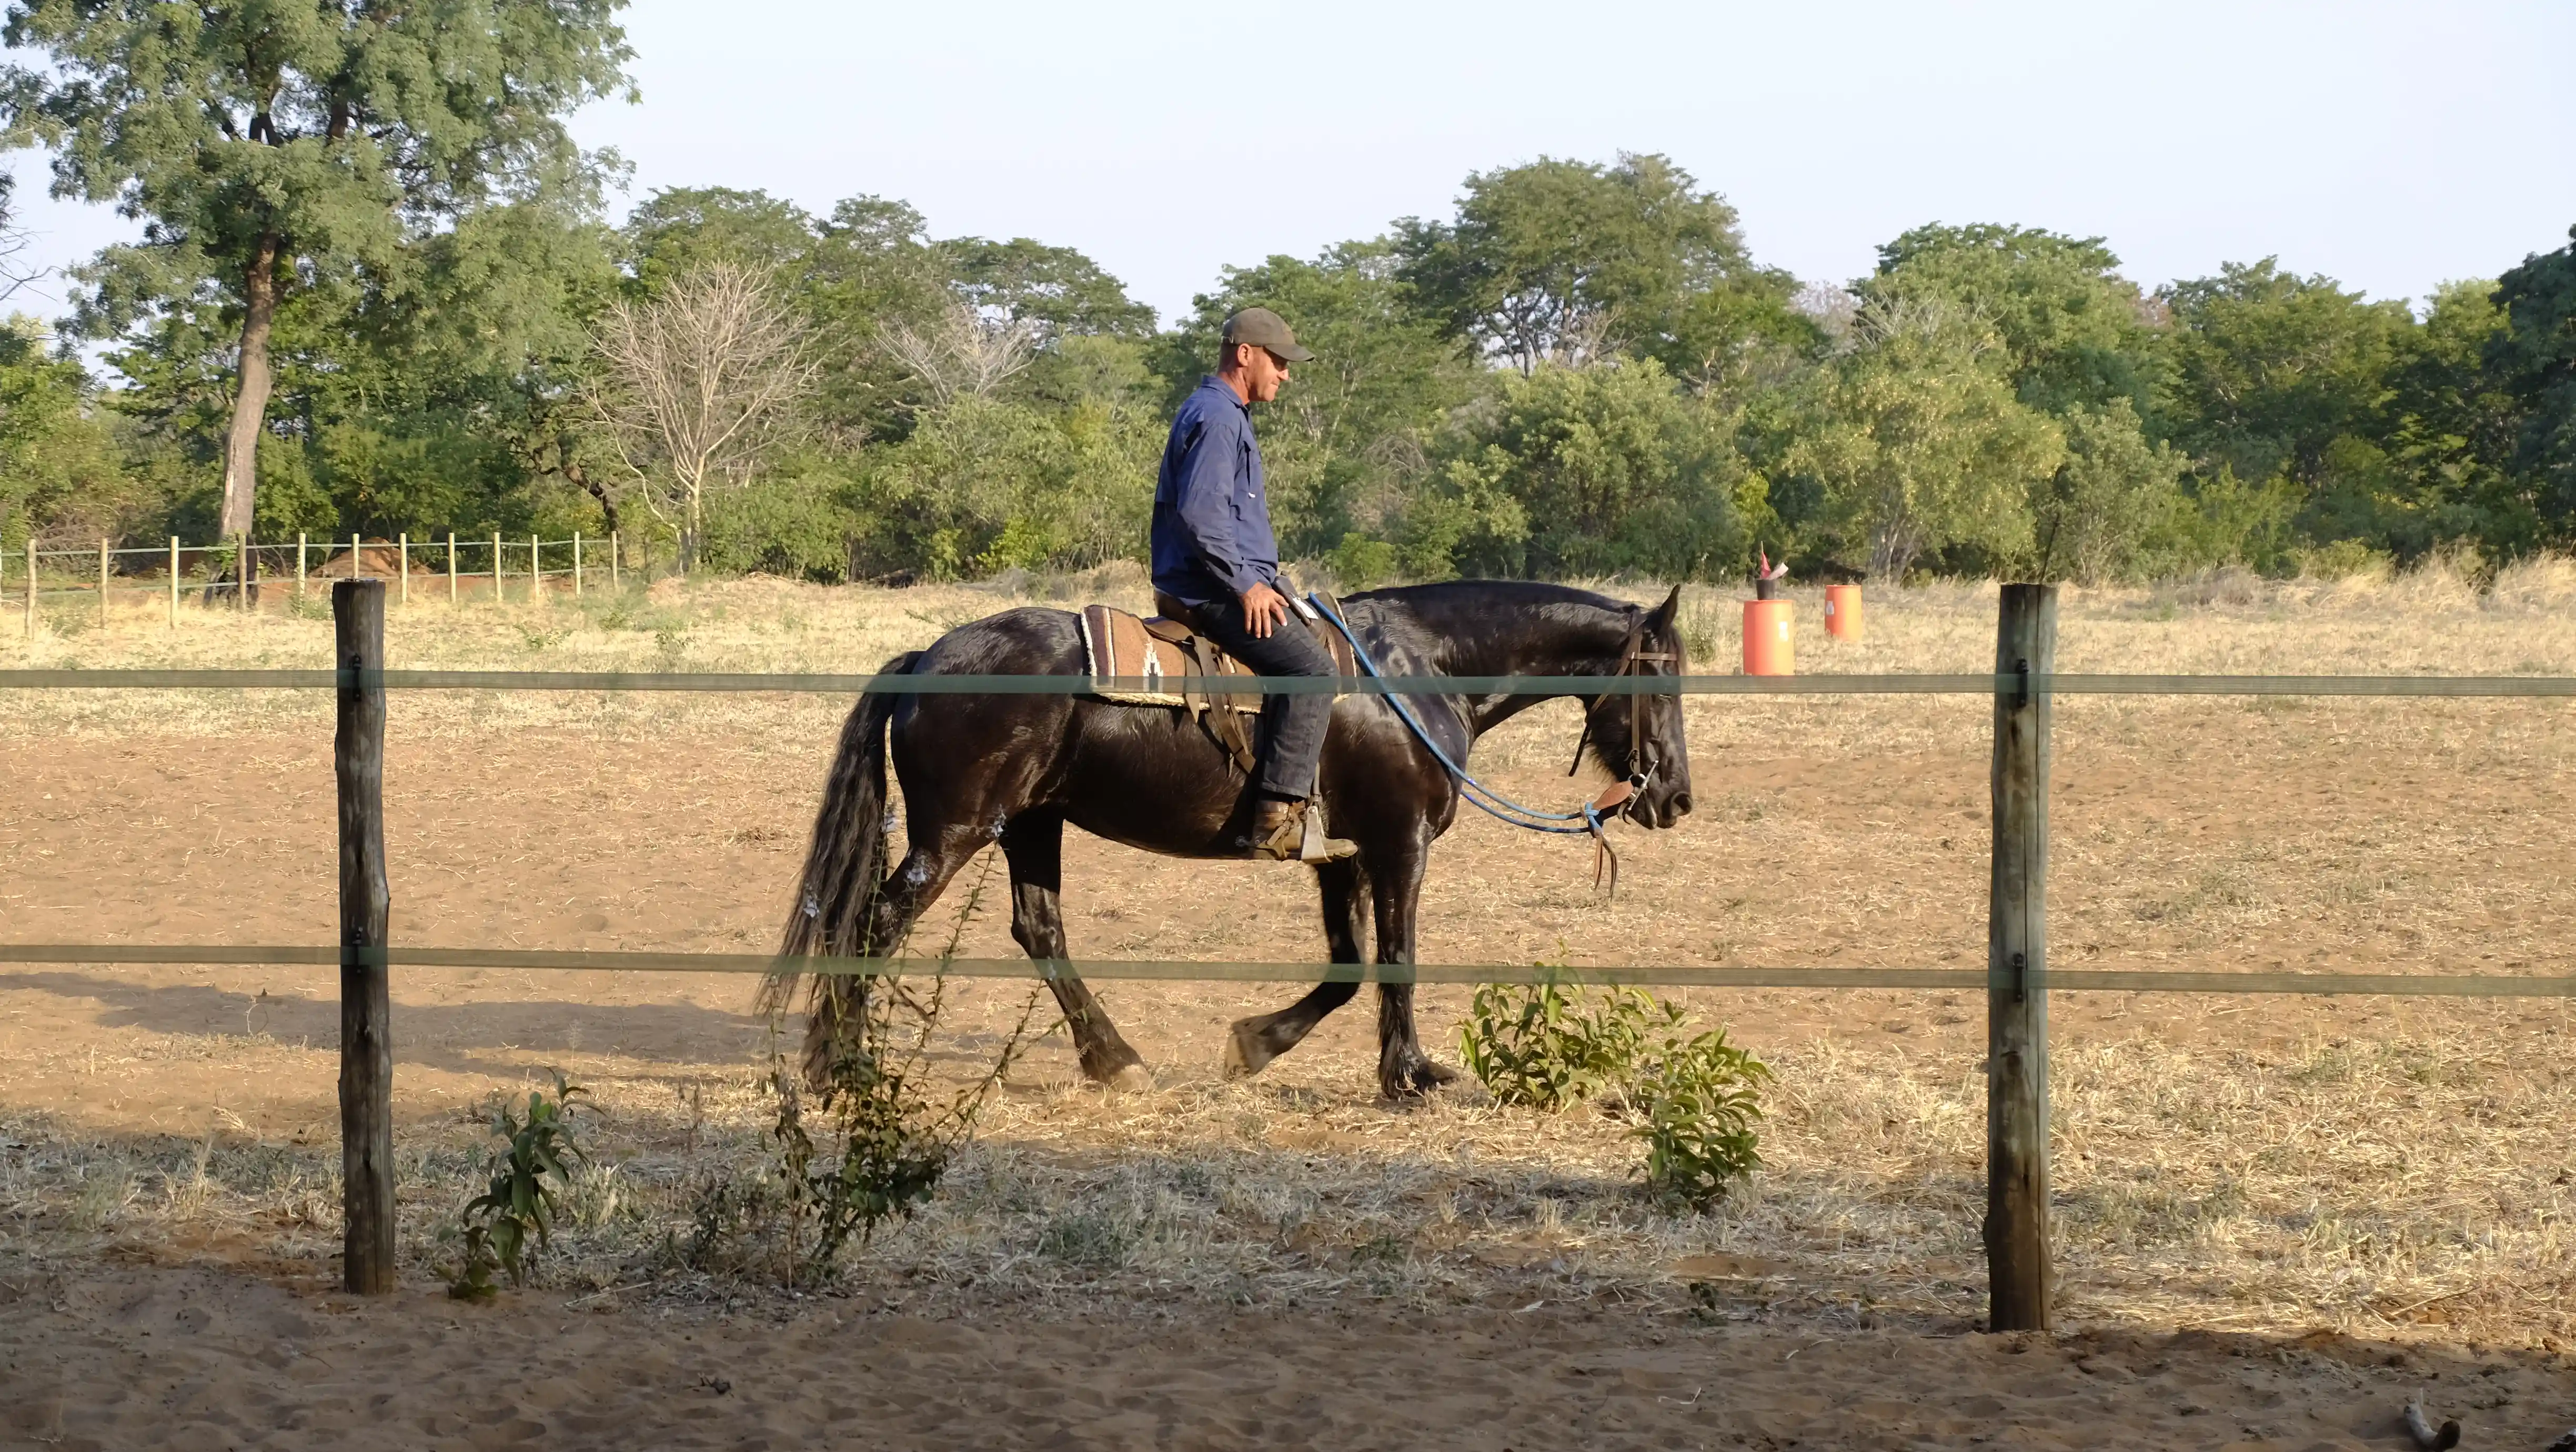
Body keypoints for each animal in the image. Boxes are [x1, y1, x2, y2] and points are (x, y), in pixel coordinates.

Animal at [764, 579, 1696, 1101]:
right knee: (880, 922)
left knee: (1039, 929)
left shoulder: (1342, 858)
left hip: (1031, 822)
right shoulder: (1400, 846)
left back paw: (1116, 1060)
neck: (1417, 673)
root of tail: (925, 658)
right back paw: (839, 1067)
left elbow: (1349, 968)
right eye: (1662, 679)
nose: (1677, 797)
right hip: (955, 831)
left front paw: (1255, 1046)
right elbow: (1396, 957)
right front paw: (1412, 1074)